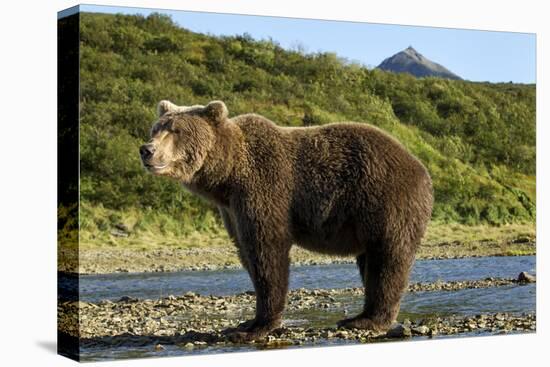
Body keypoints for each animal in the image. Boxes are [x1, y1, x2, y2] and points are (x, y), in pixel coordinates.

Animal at [140, 100, 434, 342]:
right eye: (156, 128)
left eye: (175, 130)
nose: (147, 150)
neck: (228, 177)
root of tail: (420, 166)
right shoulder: (232, 210)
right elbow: (247, 253)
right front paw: (244, 324)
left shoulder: (264, 188)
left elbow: (267, 250)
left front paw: (258, 326)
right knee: (371, 261)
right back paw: (359, 317)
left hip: (385, 200)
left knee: (387, 258)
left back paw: (369, 321)